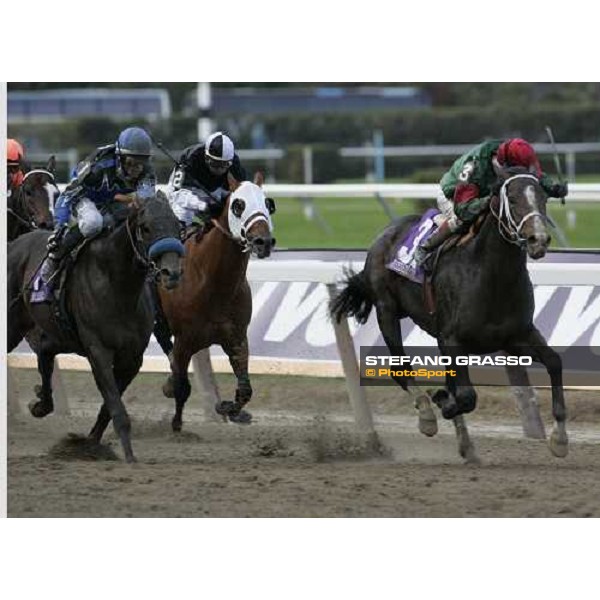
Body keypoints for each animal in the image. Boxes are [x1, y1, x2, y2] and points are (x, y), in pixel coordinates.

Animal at [7, 195, 184, 462]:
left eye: (176, 224)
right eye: (145, 227)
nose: (171, 273)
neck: (117, 286)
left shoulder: (132, 358)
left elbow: (108, 407)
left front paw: (89, 444)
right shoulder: (98, 350)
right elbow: (115, 405)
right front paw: (129, 456)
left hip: (58, 332)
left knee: (45, 351)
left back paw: (41, 404)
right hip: (13, 323)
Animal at [156, 173, 276, 432]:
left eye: (268, 204)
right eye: (238, 204)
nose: (263, 242)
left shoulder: (236, 338)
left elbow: (245, 390)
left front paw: (229, 408)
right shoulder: (184, 340)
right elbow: (181, 385)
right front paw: (176, 424)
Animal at [330, 169, 568, 460]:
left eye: (543, 197)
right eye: (511, 198)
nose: (538, 240)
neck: (492, 276)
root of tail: (384, 234)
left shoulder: (518, 335)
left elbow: (554, 362)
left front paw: (559, 438)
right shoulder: (452, 340)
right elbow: (465, 396)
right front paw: (441, 401)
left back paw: (466, 445)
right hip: (387, 310)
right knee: (400, 368)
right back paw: (427, 415)